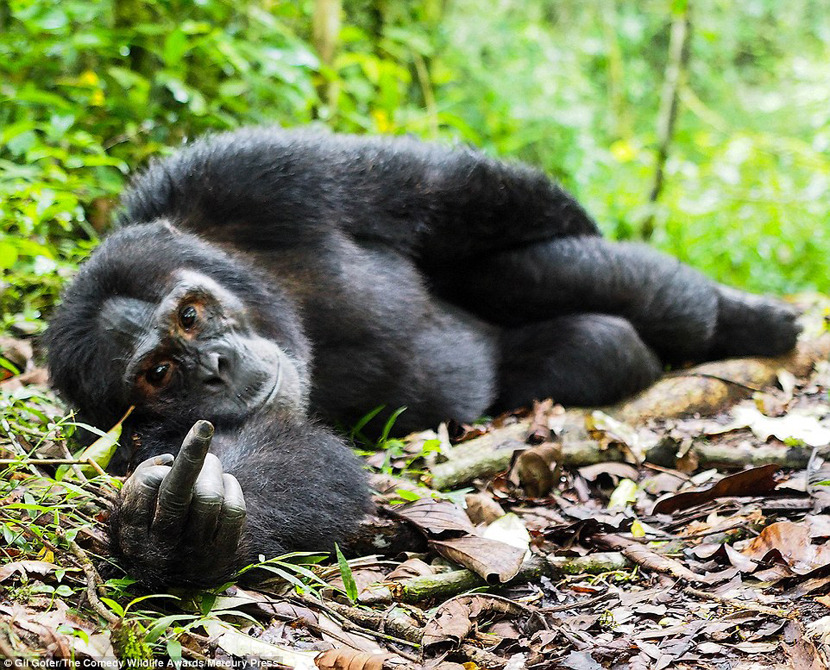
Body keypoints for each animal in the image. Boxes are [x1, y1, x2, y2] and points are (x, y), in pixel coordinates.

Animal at [44, 127, 800, 588]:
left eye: (191, 316)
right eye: (159, 374)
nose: (215, 366)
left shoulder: (251, 175)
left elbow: (442, 190)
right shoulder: (134, 439)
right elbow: (288, 455)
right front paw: (179, 528)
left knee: (538, 270)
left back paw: (745, 322)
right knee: (599, 345)